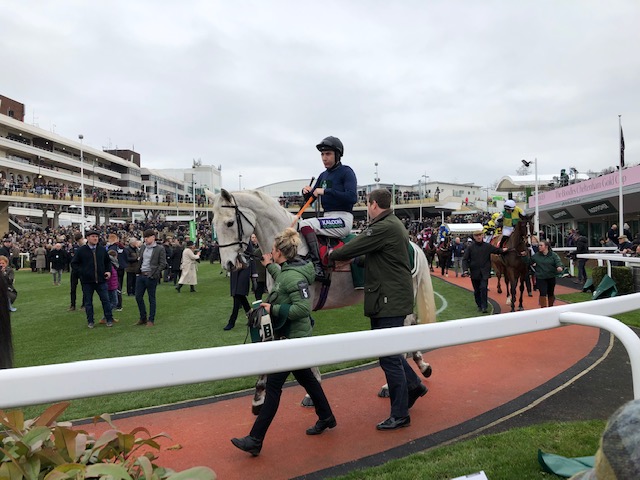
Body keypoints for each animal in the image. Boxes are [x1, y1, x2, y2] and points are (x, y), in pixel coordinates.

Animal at [208, 189, 438, 414]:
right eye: (213, 225)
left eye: (229, 222)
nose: (229, 264)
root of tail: (413, 245)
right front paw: (267, 394)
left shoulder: (297, 306)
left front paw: (301, 390)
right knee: (411, 322)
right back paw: (420, 365)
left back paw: (392, 384)